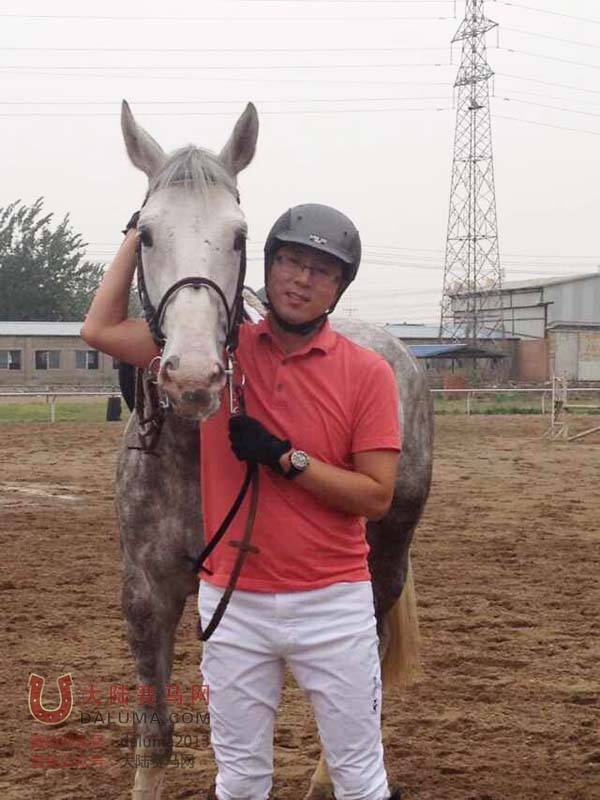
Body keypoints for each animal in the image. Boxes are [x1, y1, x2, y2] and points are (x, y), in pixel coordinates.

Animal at [116, 100, 434, 800]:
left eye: (239, 236)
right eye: (145, 235)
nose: (193, 378)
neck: (189, 454)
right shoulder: (147, 594)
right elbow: (154, 731)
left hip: (383, 558)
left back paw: (322, 780)